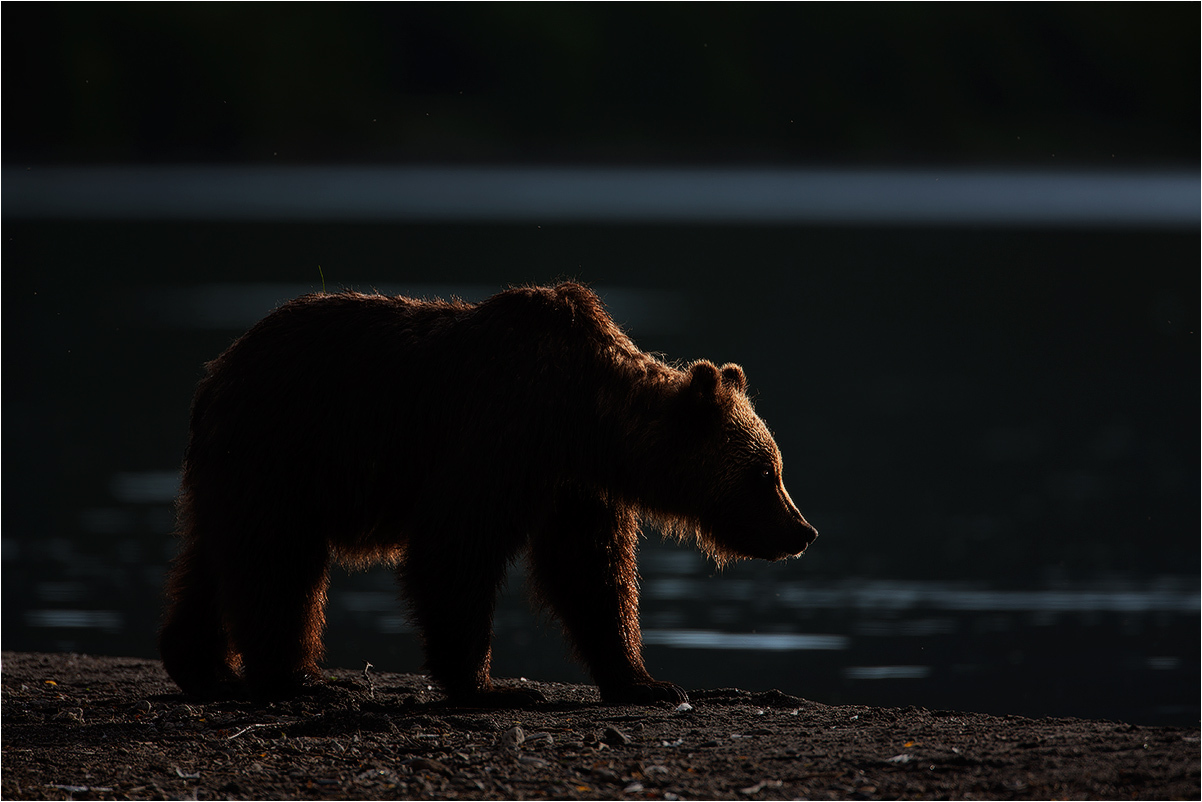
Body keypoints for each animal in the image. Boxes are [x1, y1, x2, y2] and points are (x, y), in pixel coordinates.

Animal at [159, 283, 817, 707]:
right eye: (767, 473)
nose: (802, 531)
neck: (587, 420)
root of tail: (215, 373)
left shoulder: (573, 486)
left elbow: (592, 573)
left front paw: (646, 683)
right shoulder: (499, 435)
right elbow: (456, 547)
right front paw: (488, 685)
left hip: (243, 468)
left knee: (212, 558)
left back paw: (204, 668)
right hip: (286, 448)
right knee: (277, 562)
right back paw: (299, 678)